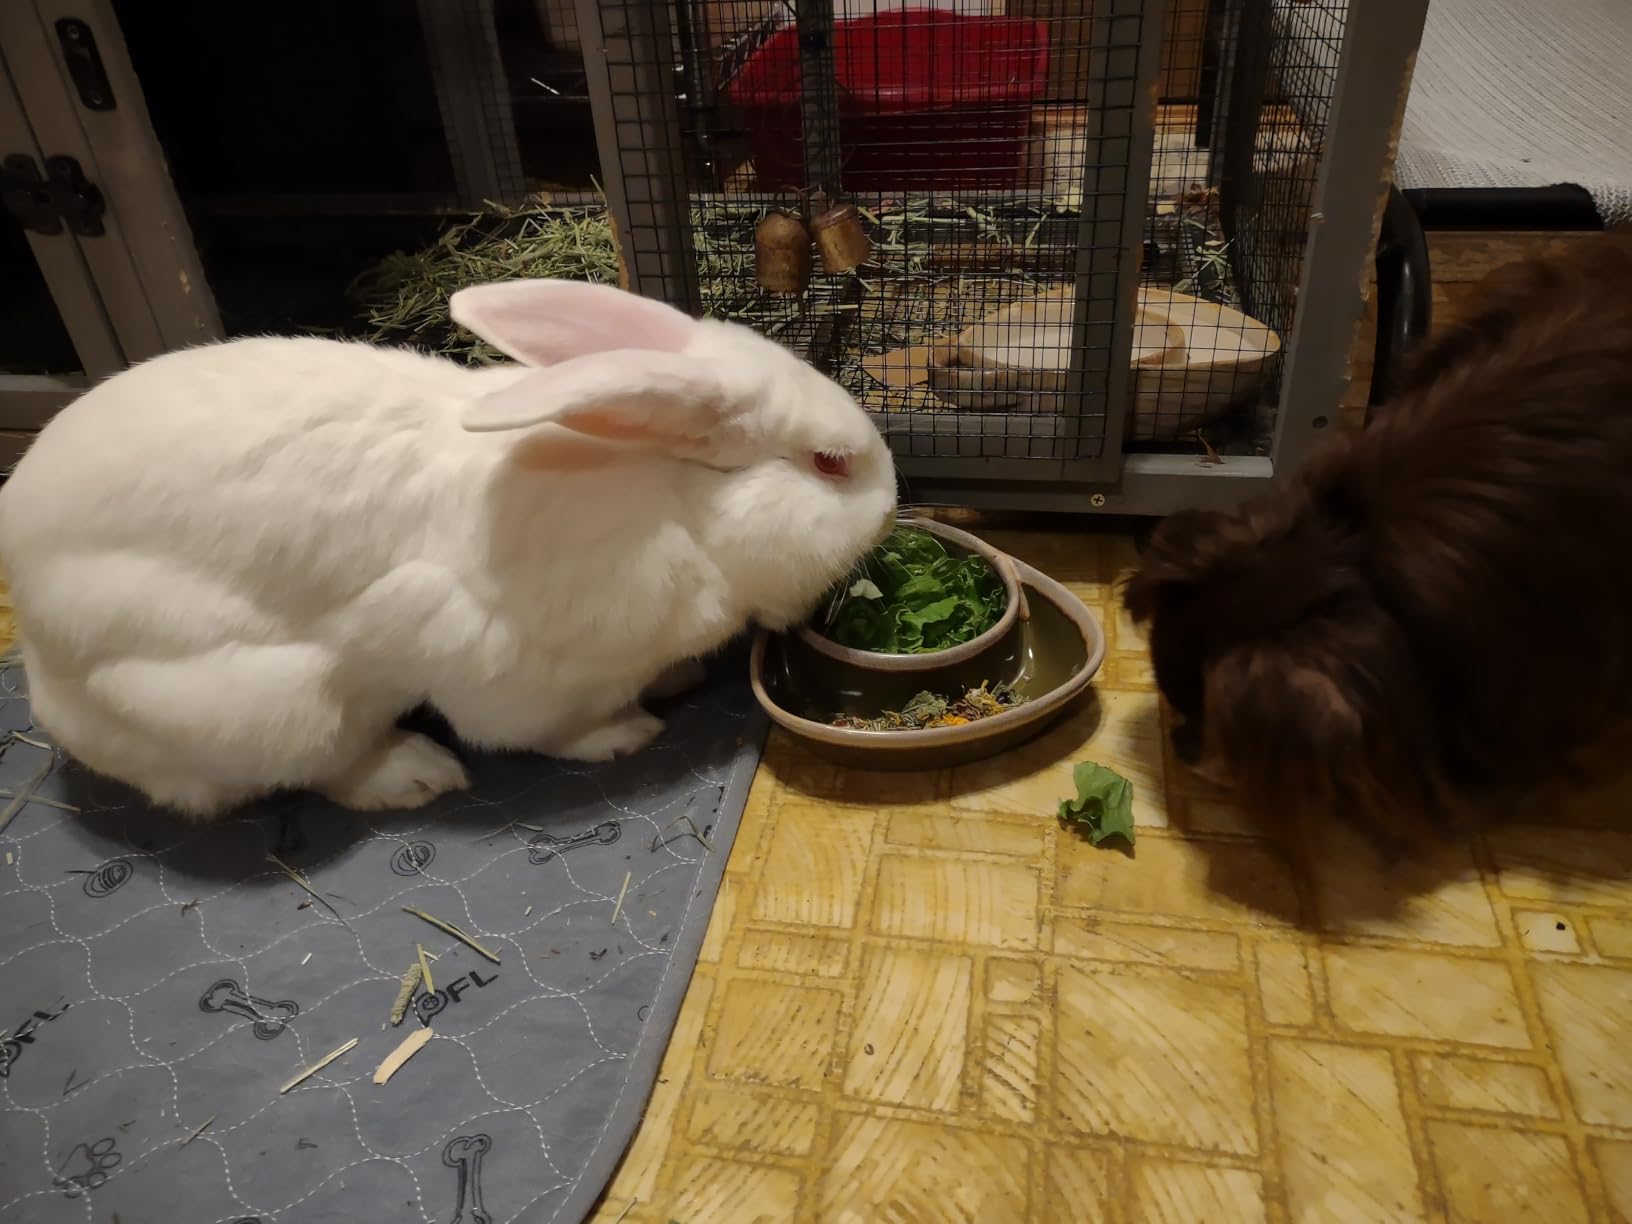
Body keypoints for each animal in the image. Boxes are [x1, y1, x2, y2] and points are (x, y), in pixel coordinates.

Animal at [0, 279, 899, 820]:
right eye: (830, 464)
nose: (893, 505)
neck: (677, 500)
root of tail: (44, 676)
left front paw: (673, 682)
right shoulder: (521, 672)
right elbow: (547, 730)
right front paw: (625, 735)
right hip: (263, 698)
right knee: (322, 764)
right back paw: (418, 775)